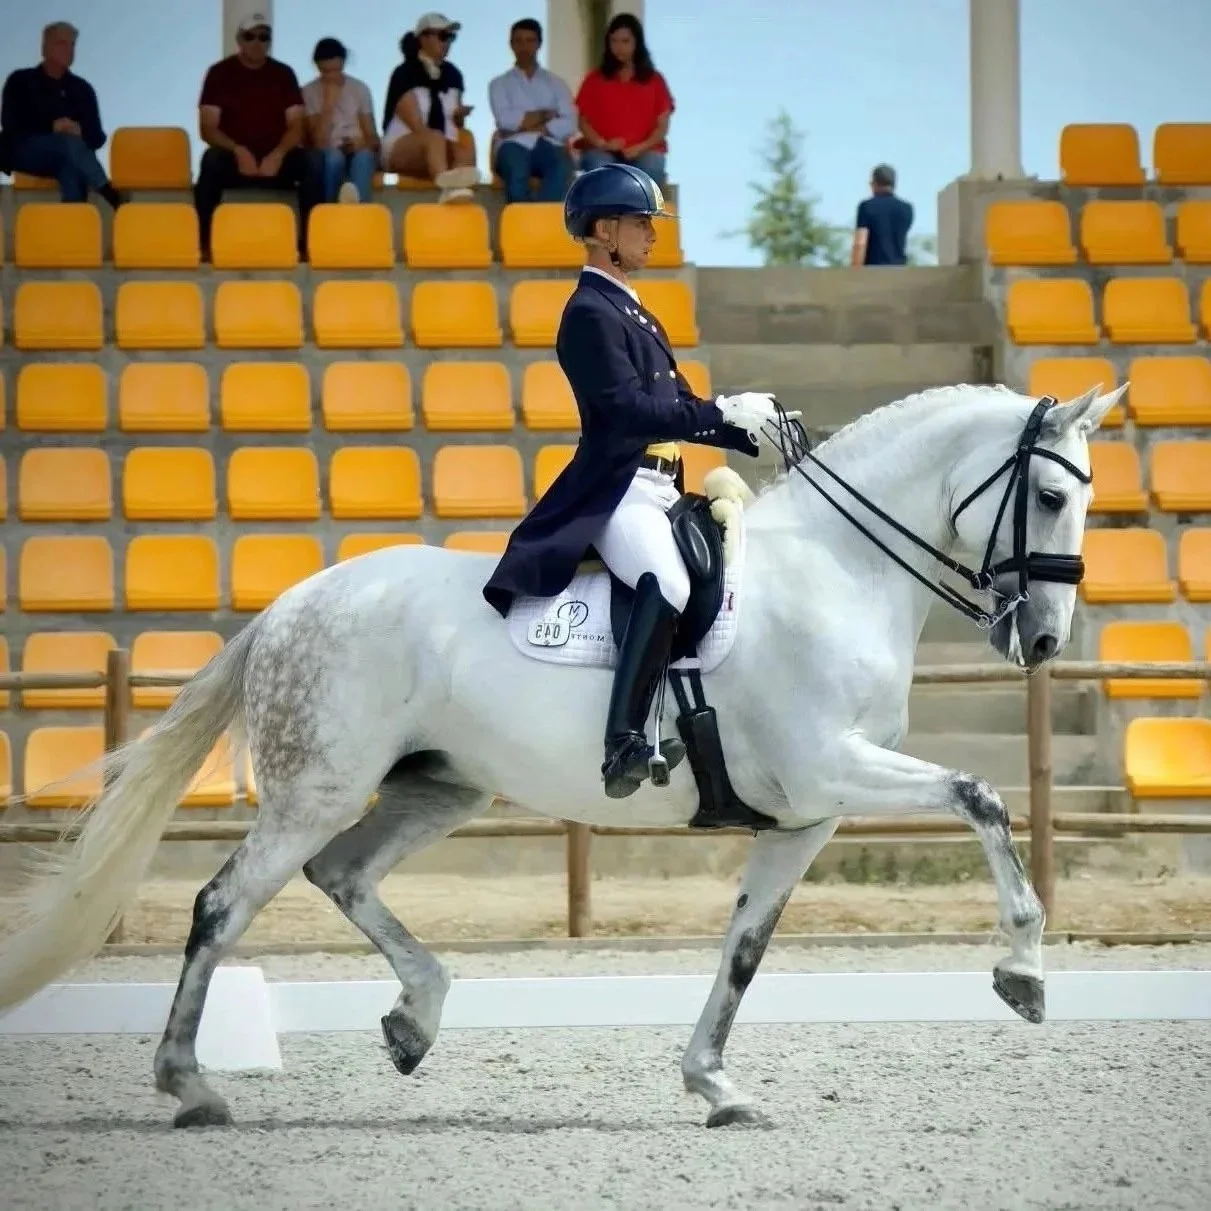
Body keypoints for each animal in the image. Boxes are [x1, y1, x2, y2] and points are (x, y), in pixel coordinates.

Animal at [0, 379, 1123, 1130]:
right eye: (1051, 497)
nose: (1039, 641)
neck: (834, 571)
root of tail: (289, 601)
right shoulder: (826, 769)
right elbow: (979, 794)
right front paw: (1021, 969)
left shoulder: (804, 817)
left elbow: (745, 948)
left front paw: (714, 1083)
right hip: (315, 788)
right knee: (223, 903)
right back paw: (191, 1084)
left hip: (436, 788)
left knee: (342, 874)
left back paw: (413, 1020)